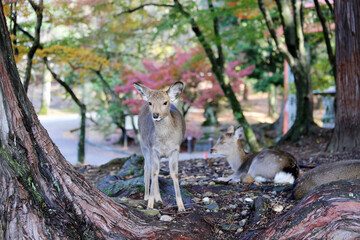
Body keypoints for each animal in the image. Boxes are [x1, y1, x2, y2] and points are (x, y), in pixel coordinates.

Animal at [134, 81, 187, 211]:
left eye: (165, 102)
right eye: (150, 102)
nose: (155, 114)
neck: (164, 141)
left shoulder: (175, 149)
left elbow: (174, 173)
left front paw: (181, 206)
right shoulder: (153, 149)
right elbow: (154, 173)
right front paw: (150, 205)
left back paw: (159, 199)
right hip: (144, 146)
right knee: (148, 168)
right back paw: (147, 197)